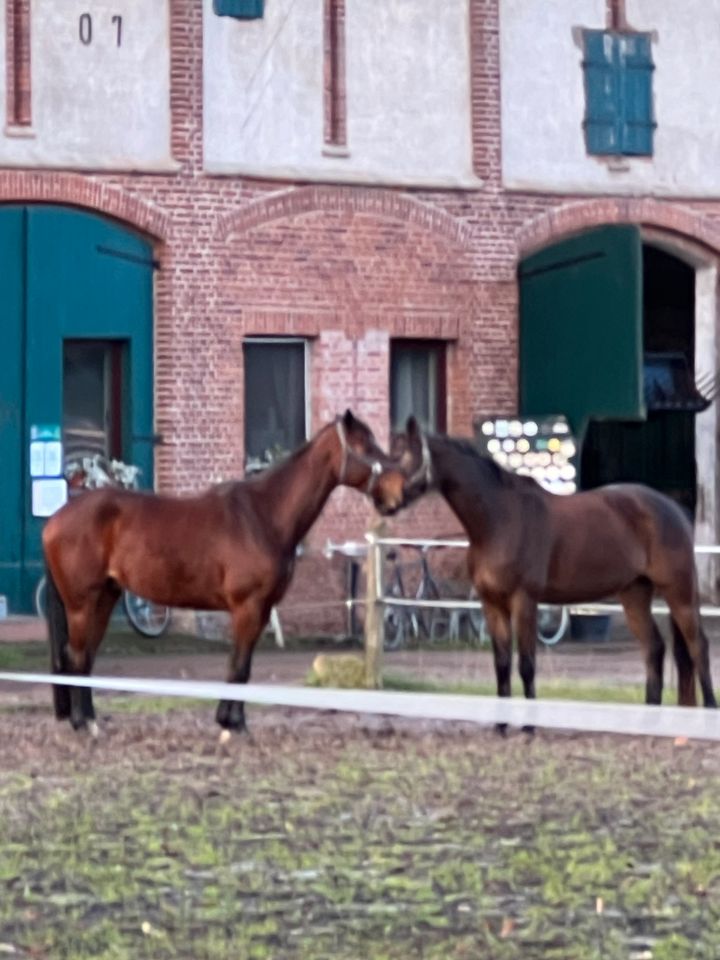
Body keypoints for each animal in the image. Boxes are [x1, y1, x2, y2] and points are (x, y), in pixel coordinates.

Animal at [43, 410, 394, 736]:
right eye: (365, 445)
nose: (395, 491)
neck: (263, 514)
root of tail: (55, 519)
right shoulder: (247, 607)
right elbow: (237, 667)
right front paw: (232, 724)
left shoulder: (261, 609)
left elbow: (242, 667)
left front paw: (231, 721)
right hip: (81, 604)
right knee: (77, 656)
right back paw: (83, 723)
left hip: (104, 598)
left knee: (85, 658)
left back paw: (89, 720)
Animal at [374, 416, 716, 716]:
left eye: (409, 460)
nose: (383, 501)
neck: (500, 519)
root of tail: (674, 508)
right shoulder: (491, 603)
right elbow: (501, 665)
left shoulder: (524, 600)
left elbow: (526, 665)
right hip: (634, 594)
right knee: (654, 649)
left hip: (679, 590)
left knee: (698, 645)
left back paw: (710, 707)